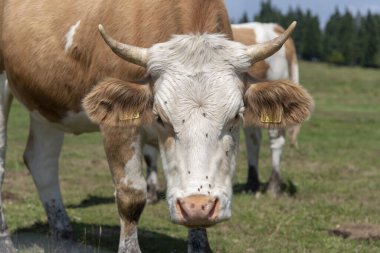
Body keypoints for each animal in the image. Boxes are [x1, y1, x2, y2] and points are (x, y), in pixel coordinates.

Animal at [0, 0, 314, 252]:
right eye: (160, 117)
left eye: (236, 116)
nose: (198, 205)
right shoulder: (119, 126)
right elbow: (131, 196)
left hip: (46, 103)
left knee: (41, 160)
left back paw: (63, 232)